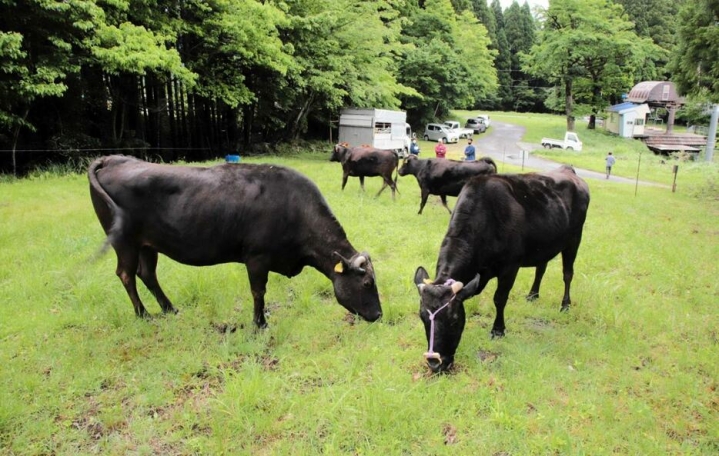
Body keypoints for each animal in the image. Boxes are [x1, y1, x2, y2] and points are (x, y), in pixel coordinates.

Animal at [89, 157, 382, 328]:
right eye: (367, 283)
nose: (379, 315)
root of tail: (113, 159)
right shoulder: (257, 258)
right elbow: (258, 291)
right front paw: (260, 323)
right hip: (124, 242)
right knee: (126, 274)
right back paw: (143, 314)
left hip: (148, 245)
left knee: (147, 273)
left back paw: (170, 309)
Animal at [416, 166, 592, 372]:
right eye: (422, 317)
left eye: (454, 319)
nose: (435, 363)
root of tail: (568, 169)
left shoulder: (510, 267)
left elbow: (499, 299)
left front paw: (498, 330)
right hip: (544, 245)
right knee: (541, 268)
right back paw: (533, 294)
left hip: (574, 239)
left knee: (567, 274)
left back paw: (565, 305)